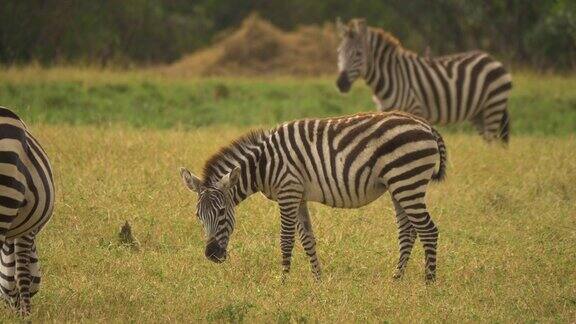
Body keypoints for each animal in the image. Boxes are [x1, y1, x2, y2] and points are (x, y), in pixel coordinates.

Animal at [0, 107, 54, 316]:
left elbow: (19, 274)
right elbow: (21, 273)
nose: (11, 312)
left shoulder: (25, 232)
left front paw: (24, 315)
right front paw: (25, 314)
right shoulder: (28, 232)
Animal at [178, 110, 448, 280]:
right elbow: (307, 238)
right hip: (398, 185)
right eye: (198, 216)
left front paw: (283, 282)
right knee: (408, 232)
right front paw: (317, 279)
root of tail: (426, 125)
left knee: (428, 230)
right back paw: (397, 278)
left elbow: (286, 240)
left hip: (407, 180)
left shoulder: (288, 192)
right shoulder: (298, 196)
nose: (212, 255)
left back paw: (429, 282)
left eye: (223, 212)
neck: (263, 164)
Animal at [332, 17, 512, 142]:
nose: (340, 84)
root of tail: (490, 58)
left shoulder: (414, 108)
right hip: (478, 113)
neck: (391, 75)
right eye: (339, 52)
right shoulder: (386, 111)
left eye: (358, 54)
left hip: (493, 105)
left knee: (492, 141)